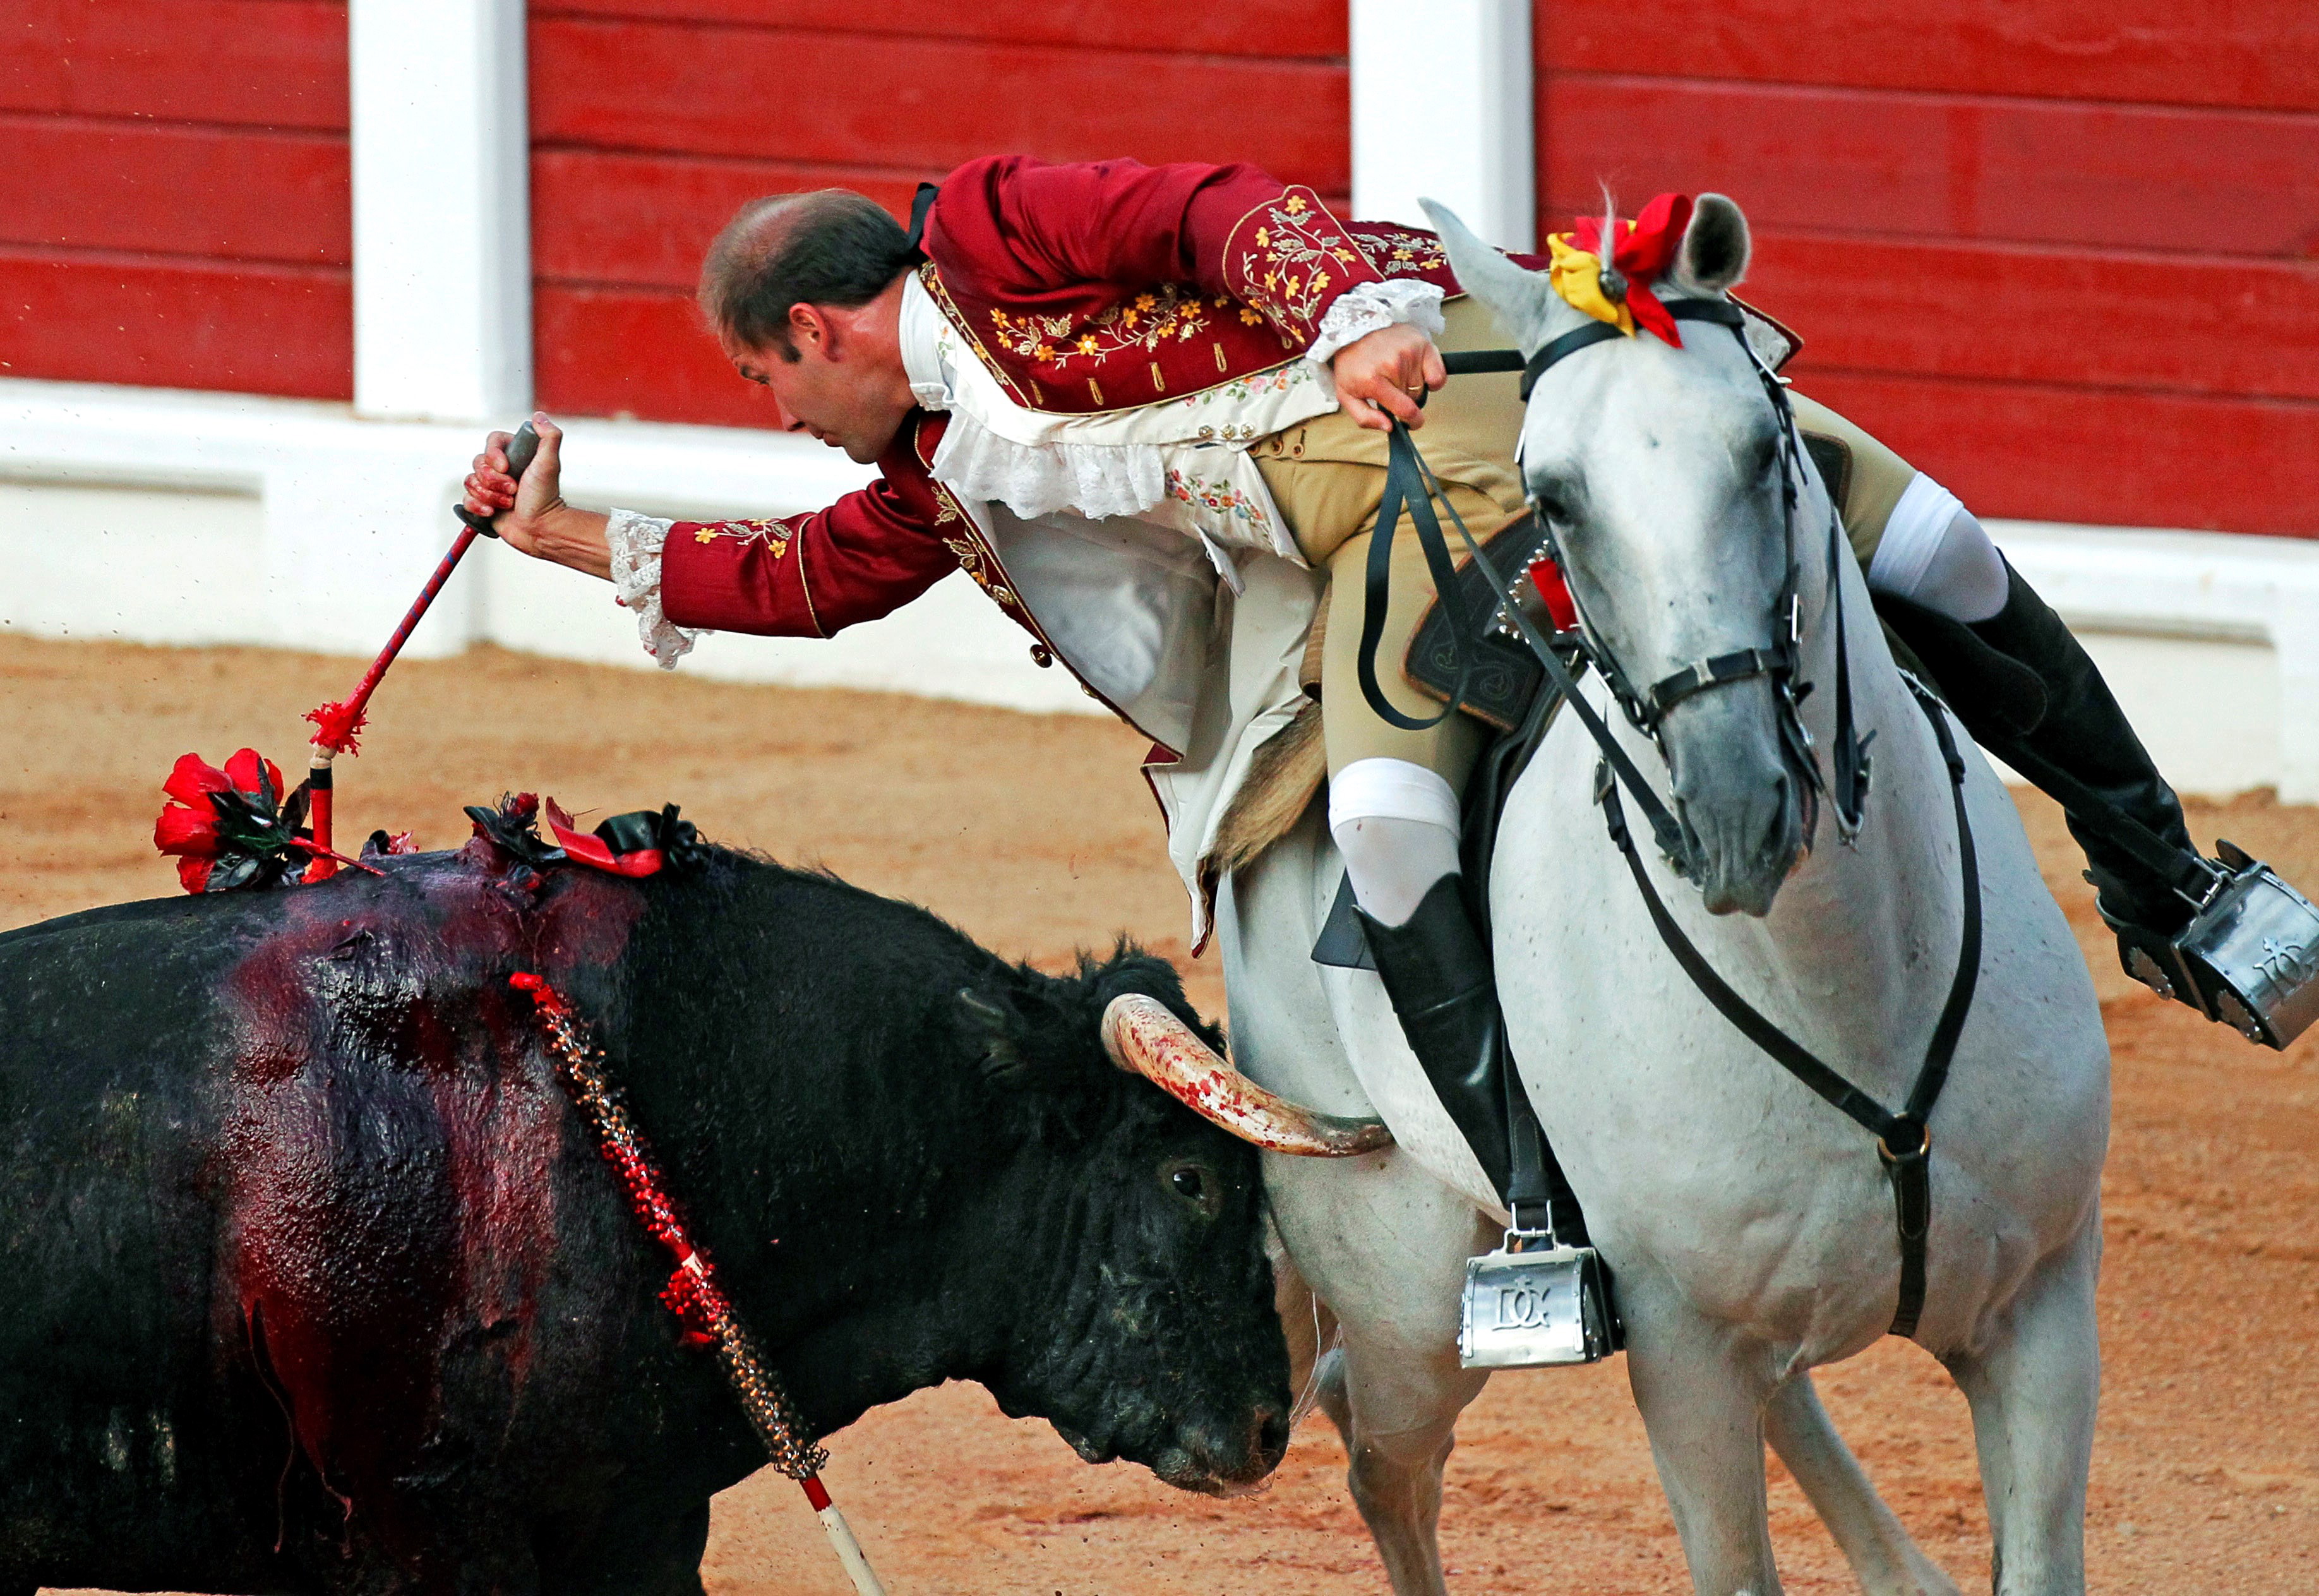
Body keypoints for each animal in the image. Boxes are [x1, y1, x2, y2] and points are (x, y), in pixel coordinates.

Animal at [1224, 203, 2114, 1596]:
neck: (1846, 986)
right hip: (1408, 1300)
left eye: (1763, 449)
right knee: (1381, 1461)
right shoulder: (1683, 1359)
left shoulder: (2042, 1314)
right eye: (1556, 498)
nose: (1735, 805)